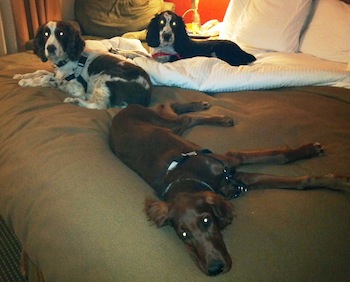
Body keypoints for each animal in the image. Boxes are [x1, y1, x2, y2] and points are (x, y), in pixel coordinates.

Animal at [14, 20, 152, 109]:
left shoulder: (78, 87)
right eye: (45, 34)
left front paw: (28, 82)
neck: (67, 60)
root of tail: (146, 95)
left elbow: (46, 77)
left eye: (61, 33)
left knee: (100, 105)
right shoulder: (57, 73)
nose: (50, 48)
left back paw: (75, 101)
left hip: (105, 77)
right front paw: (21, 76)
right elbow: (41, 72)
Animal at [109, 101, 350, 276]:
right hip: (171, 126)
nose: (215, 269)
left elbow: (281, 157)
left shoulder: (232, 160)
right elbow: (294, 180)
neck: (187, 177)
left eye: (206, 221)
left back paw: (213, 113)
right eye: (183, 234)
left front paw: (324, 167)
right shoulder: (241, 180)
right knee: (175, 112)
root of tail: (121, 112)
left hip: (170, 125)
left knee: (177, 112)